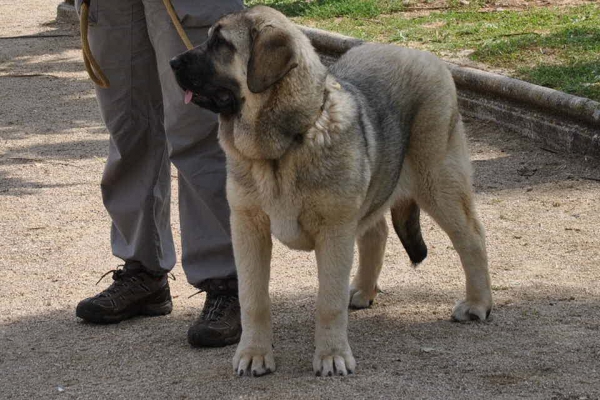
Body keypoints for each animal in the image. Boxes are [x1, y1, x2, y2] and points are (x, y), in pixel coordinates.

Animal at [170, 4, 492, 376]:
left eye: (221, 43)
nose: (172, 62)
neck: (286, 144)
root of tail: (416, 52)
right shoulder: (248, 227)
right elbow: (253, 298)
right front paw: (253, 354)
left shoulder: (334, 231)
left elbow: (328, 301)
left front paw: (332, 355)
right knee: (376, 233)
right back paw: (365, 289)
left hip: (438, 181)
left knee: (470, 237)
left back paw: (478, 303)